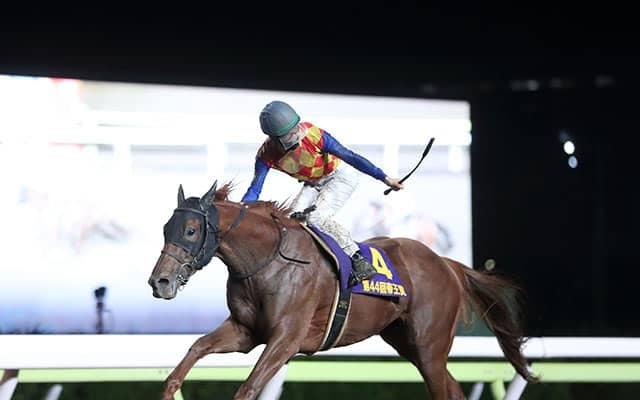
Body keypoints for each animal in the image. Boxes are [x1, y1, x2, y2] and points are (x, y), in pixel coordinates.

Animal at [148, 181, 537, 400]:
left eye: (191, 231)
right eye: (166, 228)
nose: (159, 282)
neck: (269, 260)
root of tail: (446, 263)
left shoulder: (285, 339)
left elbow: (248, 388)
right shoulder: (246, 332)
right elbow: (193, 353)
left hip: (430, 346)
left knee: (442, 390)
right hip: (407, 342)